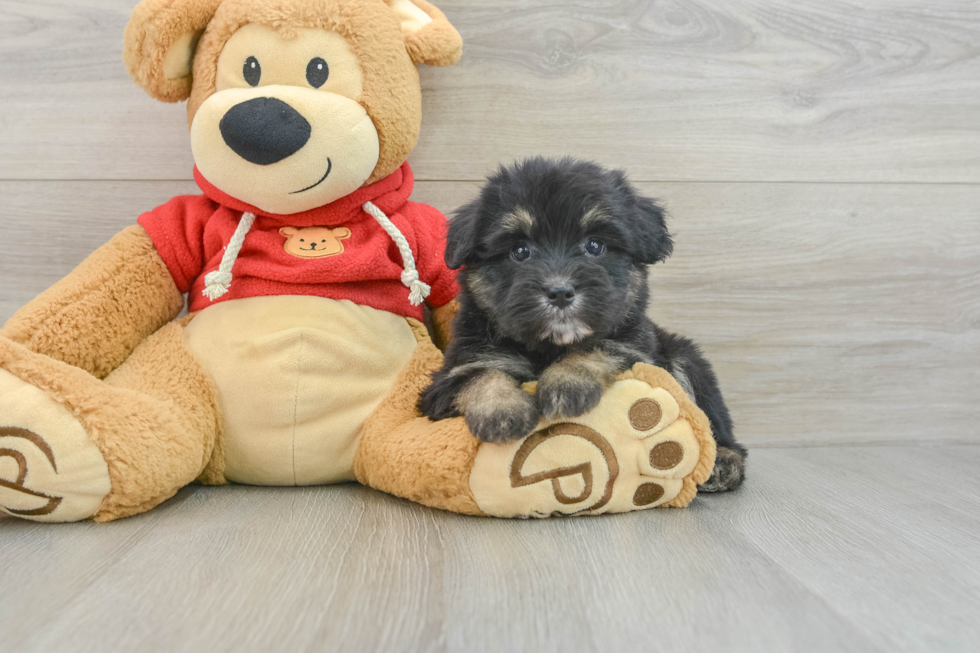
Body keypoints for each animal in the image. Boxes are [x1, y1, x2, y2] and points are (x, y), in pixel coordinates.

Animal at [418, 158, 748, 492]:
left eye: (595, 245)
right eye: (520, 251)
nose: (560, 292)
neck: (548, 348)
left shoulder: (635, 349)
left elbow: (597, 347)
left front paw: (566, 383)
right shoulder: (452, 374)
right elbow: (481, 375)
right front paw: (501, 410)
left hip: (686, 358)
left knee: (712, 420)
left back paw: (723, 462)